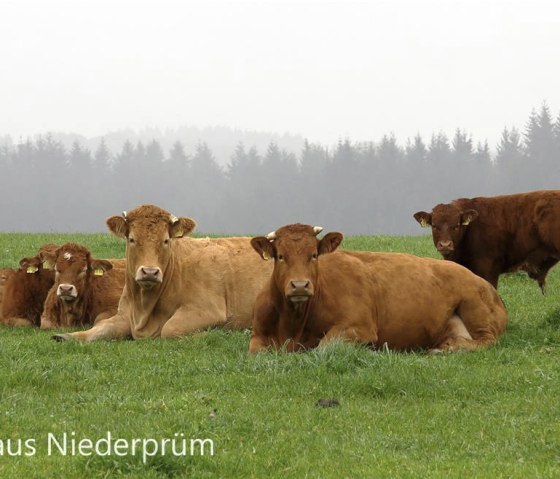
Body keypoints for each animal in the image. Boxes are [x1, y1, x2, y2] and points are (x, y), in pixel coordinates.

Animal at [52, 204, 274, 344]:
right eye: (132, 239)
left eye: (166, 240)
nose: (150, 272)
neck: (144, 308)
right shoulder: (123, 315)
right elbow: (101, 328)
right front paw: (68, 336)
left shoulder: (206, 309)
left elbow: (170, 329)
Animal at [249, 224, 508, 352]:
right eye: (280, 256)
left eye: (313, 255)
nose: (300, 285)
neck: (293, 326)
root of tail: (485, 283)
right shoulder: (257, 335)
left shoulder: (359, 326)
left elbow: (323, 347)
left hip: (474, 305)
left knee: (487, 341)